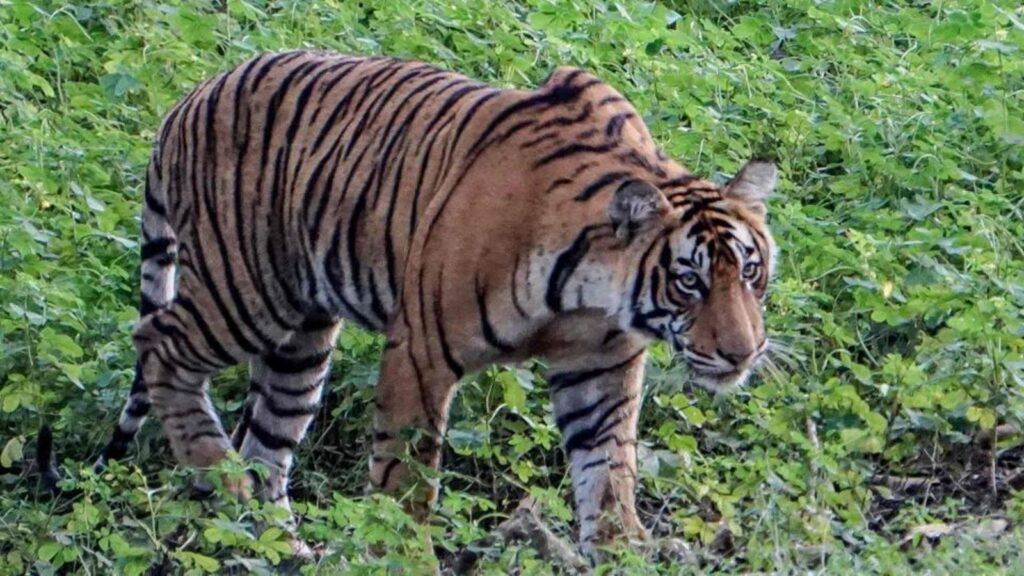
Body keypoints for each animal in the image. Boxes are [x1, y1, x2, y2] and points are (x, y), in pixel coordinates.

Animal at [39, 51, 777, 560]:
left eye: (751, 272)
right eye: (688, 281)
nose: (743, 352)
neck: (590, 293)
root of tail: (184, 101)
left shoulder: (601, 367)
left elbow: (609, 473)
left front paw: (622, 554)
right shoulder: (421, 350)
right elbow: (406, 479)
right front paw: (398, 555)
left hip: (302, 336)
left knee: (266, 442)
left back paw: (275, 544)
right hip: (244, 289)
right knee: (157, 344)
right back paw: (220, 478)